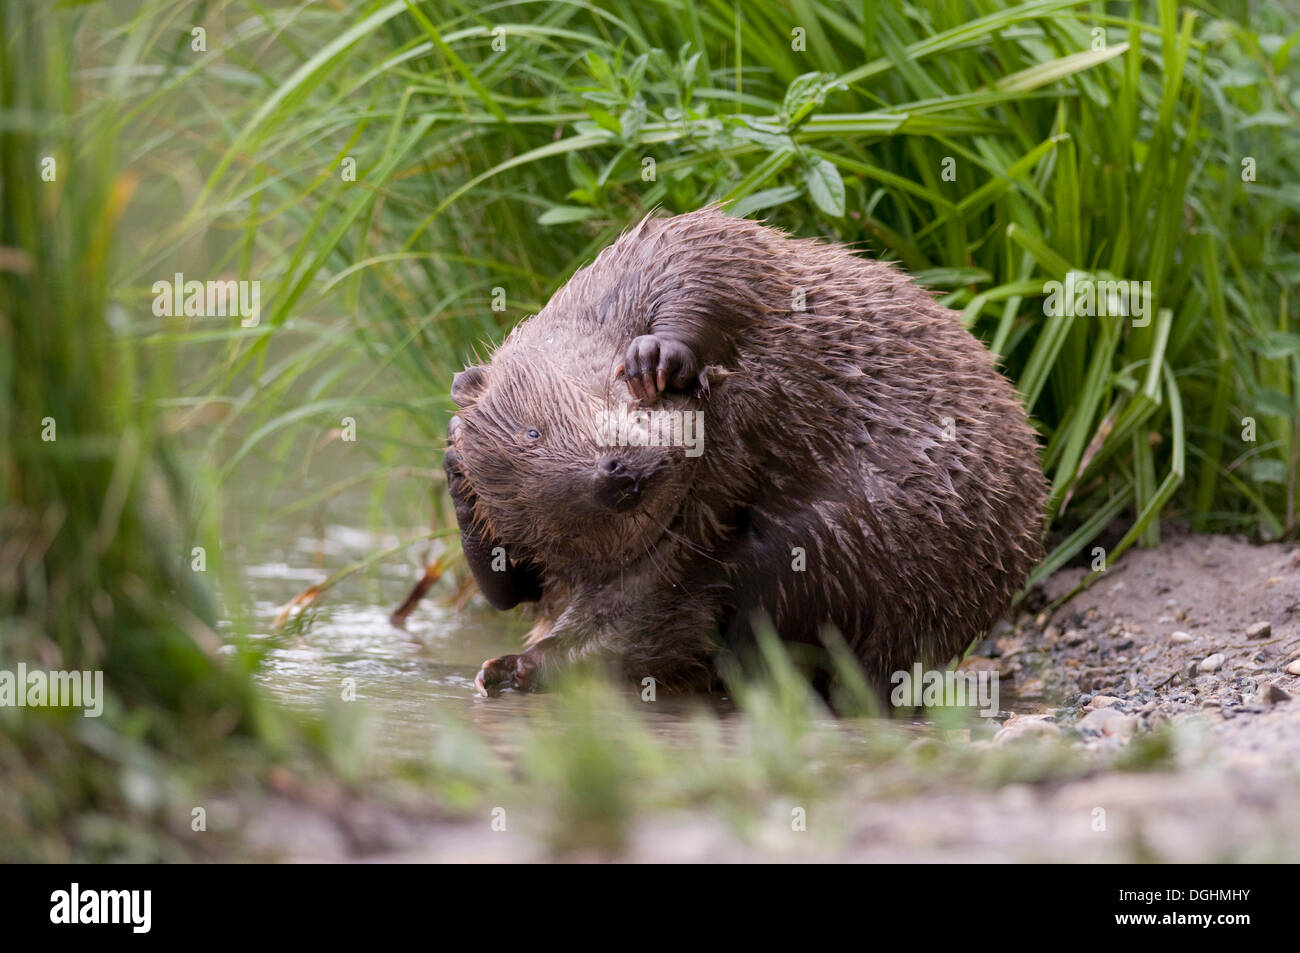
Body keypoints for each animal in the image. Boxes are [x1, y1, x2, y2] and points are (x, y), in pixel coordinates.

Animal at [444, 208, 1045, 696]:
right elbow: (632, 621)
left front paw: (652, 357)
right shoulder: (681, 546)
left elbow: (711, 265)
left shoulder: (651, 262)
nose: (618, 481)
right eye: (561, 527)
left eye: (533, 433)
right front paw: (507, 666)